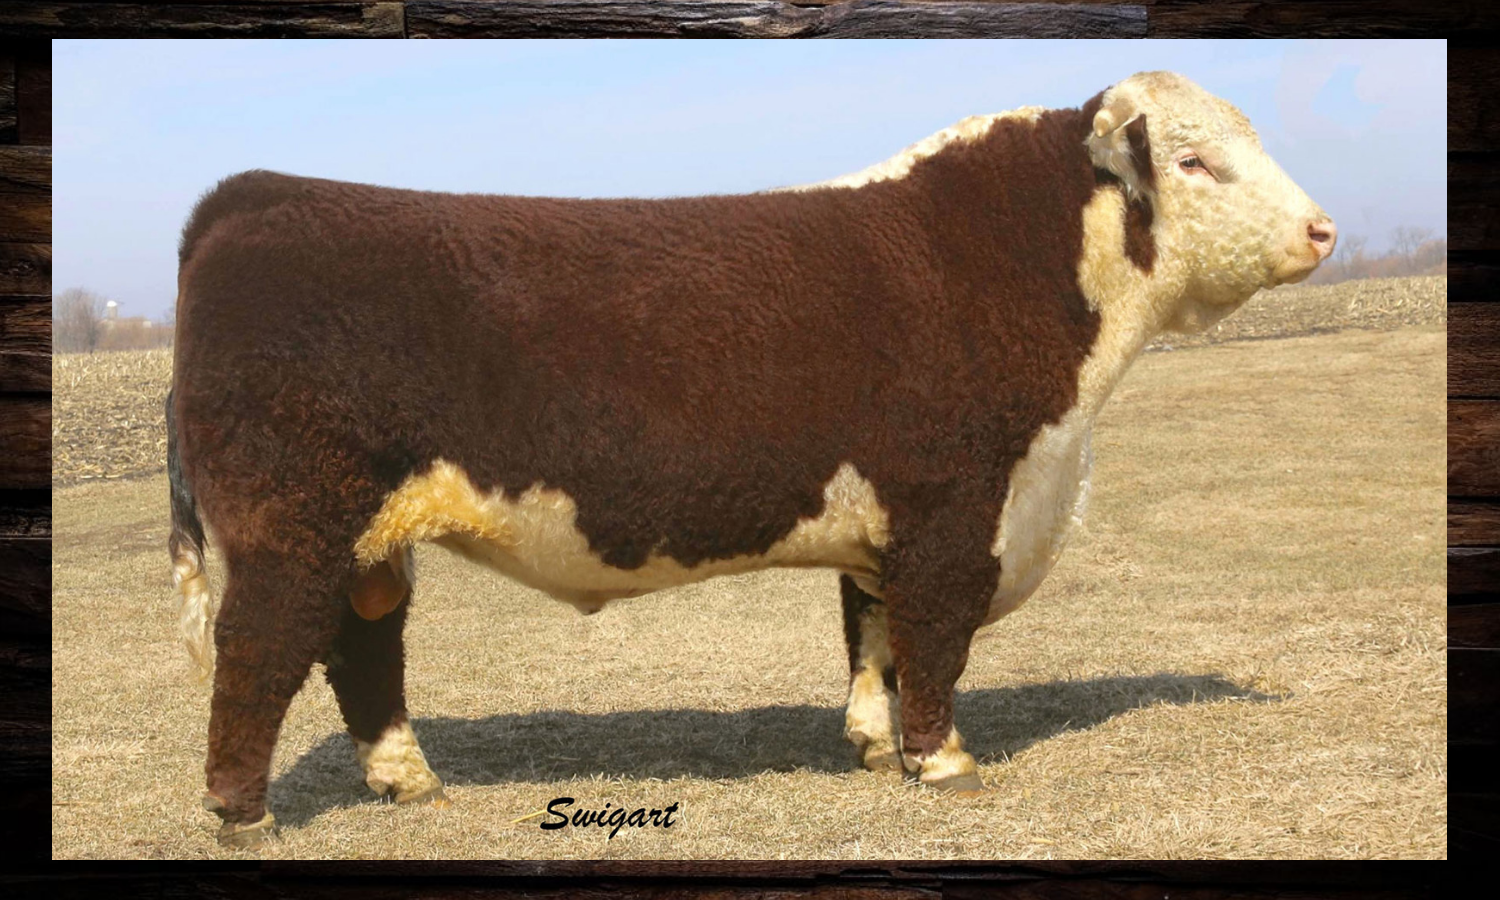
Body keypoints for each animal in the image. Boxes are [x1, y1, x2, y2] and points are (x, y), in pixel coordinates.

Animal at [167, 71, 1334, 848]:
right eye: (1193, 160)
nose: (1323, 230)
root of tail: (253, 196)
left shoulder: (887, 528)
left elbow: (873, 635)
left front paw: (872, 746)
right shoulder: (954, 511)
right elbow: (935, 642)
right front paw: (943, 762)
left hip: (364, 540)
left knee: (363, 647)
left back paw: (410, 784)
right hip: (289, 525)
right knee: (260, 651)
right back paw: (243, 817)